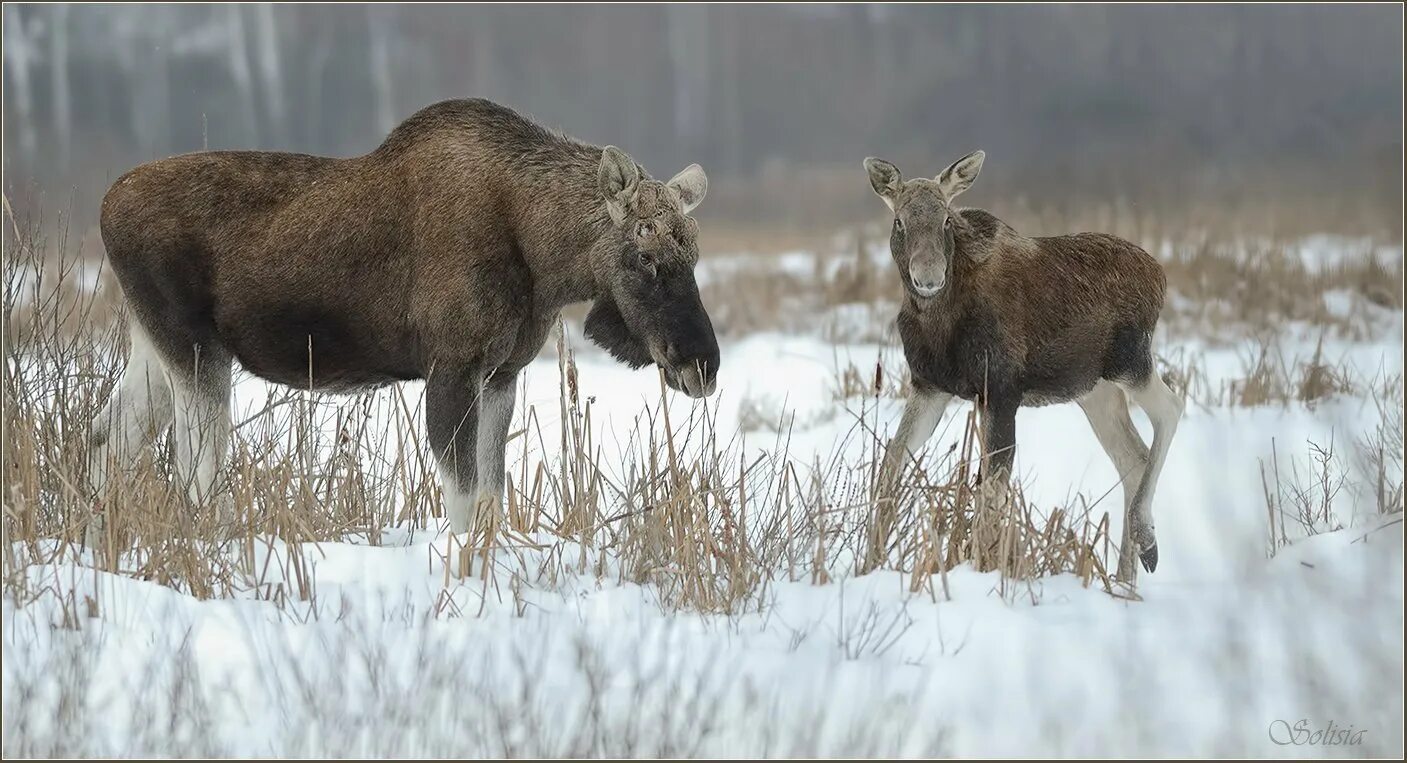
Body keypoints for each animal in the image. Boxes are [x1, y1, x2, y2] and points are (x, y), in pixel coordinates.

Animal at [861, 149, 1181, 582]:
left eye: (946, 219)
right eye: (899, 221)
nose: (928, 278)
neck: (937, 319)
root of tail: (1160, 276)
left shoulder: (1000, 389)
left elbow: (992, 492)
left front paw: (986, 566)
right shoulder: (930, 386)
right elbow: (891, 464)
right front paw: (869, 562)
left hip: (1130, 361)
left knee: (1170, 409)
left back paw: (1146, 540)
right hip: (1095, 391)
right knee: (1132, 457)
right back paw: (1124, 577)